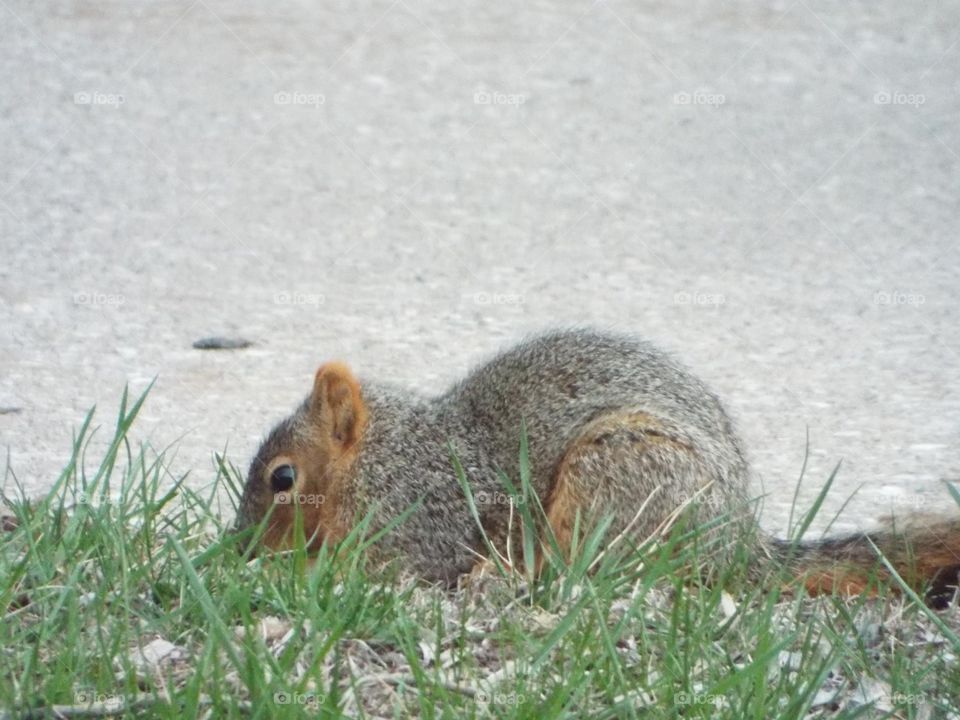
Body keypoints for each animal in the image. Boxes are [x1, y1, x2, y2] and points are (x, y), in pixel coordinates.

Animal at [234, 329, 960, 605]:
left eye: (283, 479)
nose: (240, 550)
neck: (387, 457)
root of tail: (737, 547)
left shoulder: (424, 523)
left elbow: (390, 571)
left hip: (616, 475)